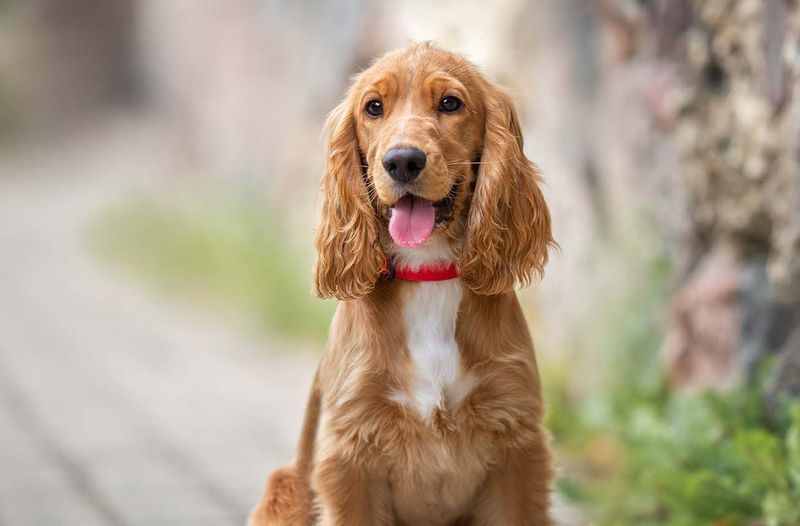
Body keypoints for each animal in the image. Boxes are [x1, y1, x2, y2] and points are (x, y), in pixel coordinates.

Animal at [250, 43, 556, 526]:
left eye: (450, 103)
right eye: (374, 107)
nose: (403, 161)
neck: (428, 272)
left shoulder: (516, 444)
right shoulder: (350, 453)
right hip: (284, 487)